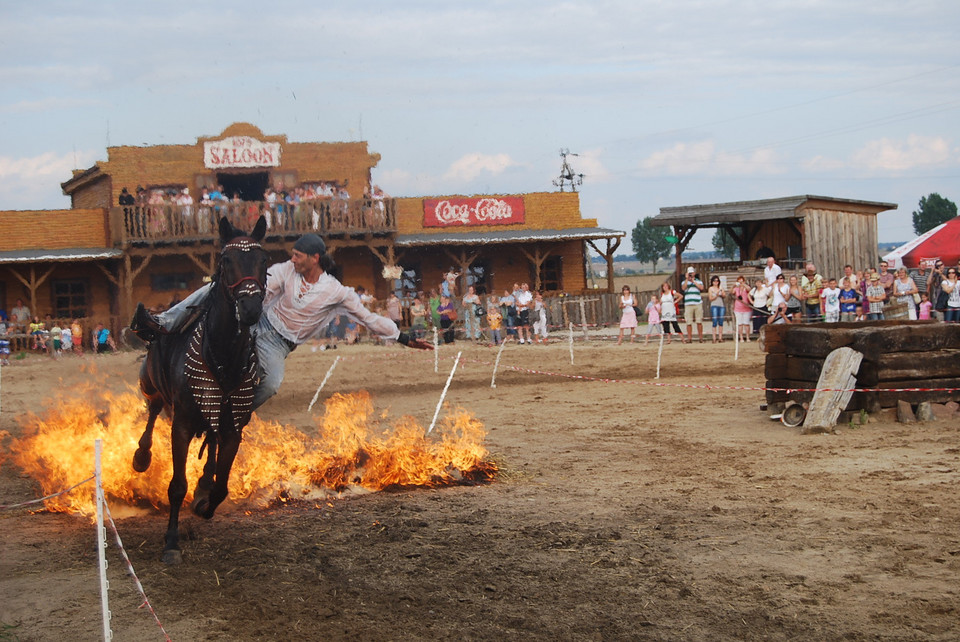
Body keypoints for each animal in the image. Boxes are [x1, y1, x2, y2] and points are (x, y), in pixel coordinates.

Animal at [133, 214, 268, 560]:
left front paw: (204, 501)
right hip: (151, 384)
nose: (249, 308)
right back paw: (141, 455)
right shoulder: (180, 425)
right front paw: (171, 541)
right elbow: (177, 485)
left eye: (263, 260)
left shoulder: (234, 428)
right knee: (152, 411)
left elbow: (221, 485)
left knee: (211, 441)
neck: (221, 355)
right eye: (226, 260)